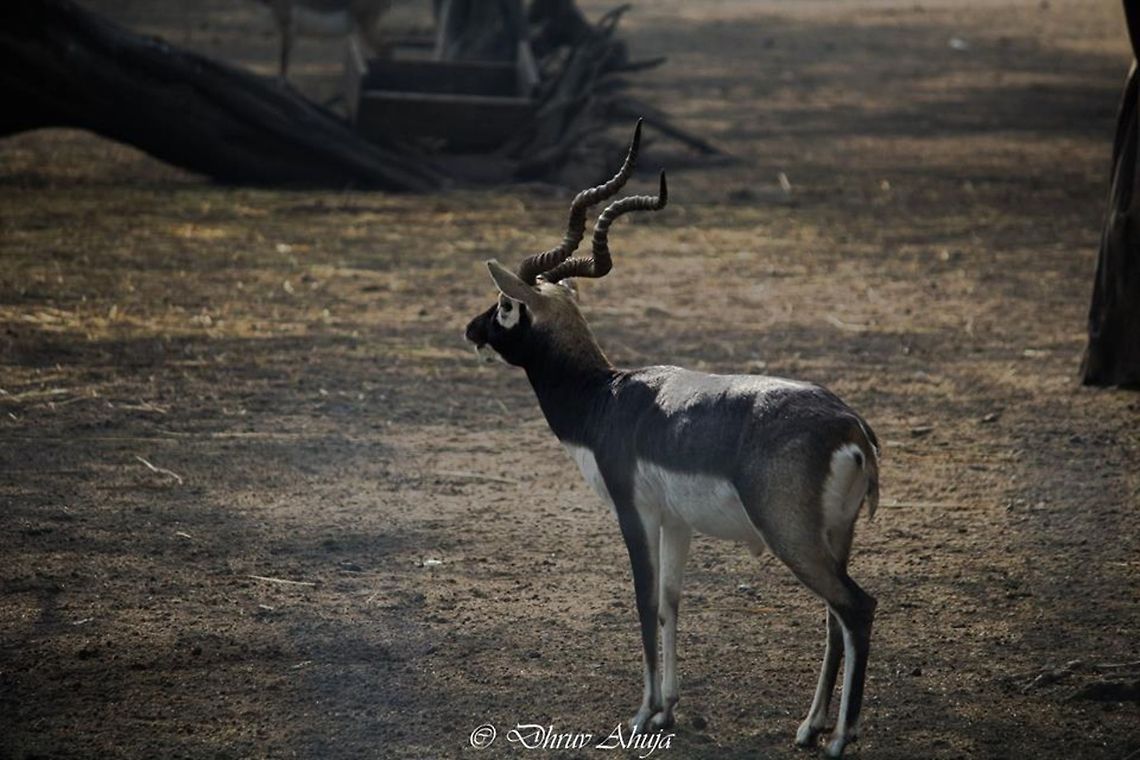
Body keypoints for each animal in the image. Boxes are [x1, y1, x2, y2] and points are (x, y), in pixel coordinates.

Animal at [464, 121, 882, 758]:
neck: (605, 397)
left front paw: (641, 714)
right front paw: (667, 708)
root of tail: (850, 425)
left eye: (507, 304)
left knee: (856, 607)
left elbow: (642, 599)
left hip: (791, 536)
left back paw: (839, 738)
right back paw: (810, 727)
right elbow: (669, 602)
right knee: (834, 616)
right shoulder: (676, 521)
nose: (471, 329)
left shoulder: (633, 511)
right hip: (836, 536)